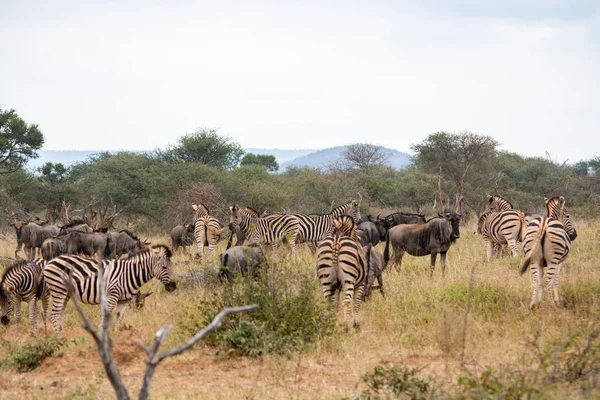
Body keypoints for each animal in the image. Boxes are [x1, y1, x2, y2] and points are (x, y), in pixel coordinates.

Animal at [42, 244, 176, 334]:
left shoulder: (124, 300)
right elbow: (107, 316)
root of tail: (50, 261)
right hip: (59, 291)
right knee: (54, 315)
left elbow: (118, 317)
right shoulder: (112, 295)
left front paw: (116, 336)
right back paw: (59, 339)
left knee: (59, 314)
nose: (173, 286)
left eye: (173, 266)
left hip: (66, 294)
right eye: (164, 267)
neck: (129, 274)